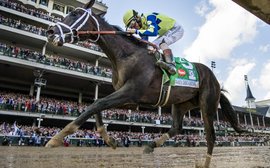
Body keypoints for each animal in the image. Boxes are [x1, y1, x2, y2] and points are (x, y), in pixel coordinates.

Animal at [45, 0, 244, 167]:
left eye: (75, 14)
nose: (50, 31)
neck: (127, 56)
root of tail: (215, 79)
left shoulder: (131, 91)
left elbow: (96, 104)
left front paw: (56, 138)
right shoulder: (130, 98)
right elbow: (97, 105)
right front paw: (110, 140)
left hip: (207, 104)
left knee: (211, 136)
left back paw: (204, 163)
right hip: (181, 103)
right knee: (176, 127)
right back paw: (150, 146)